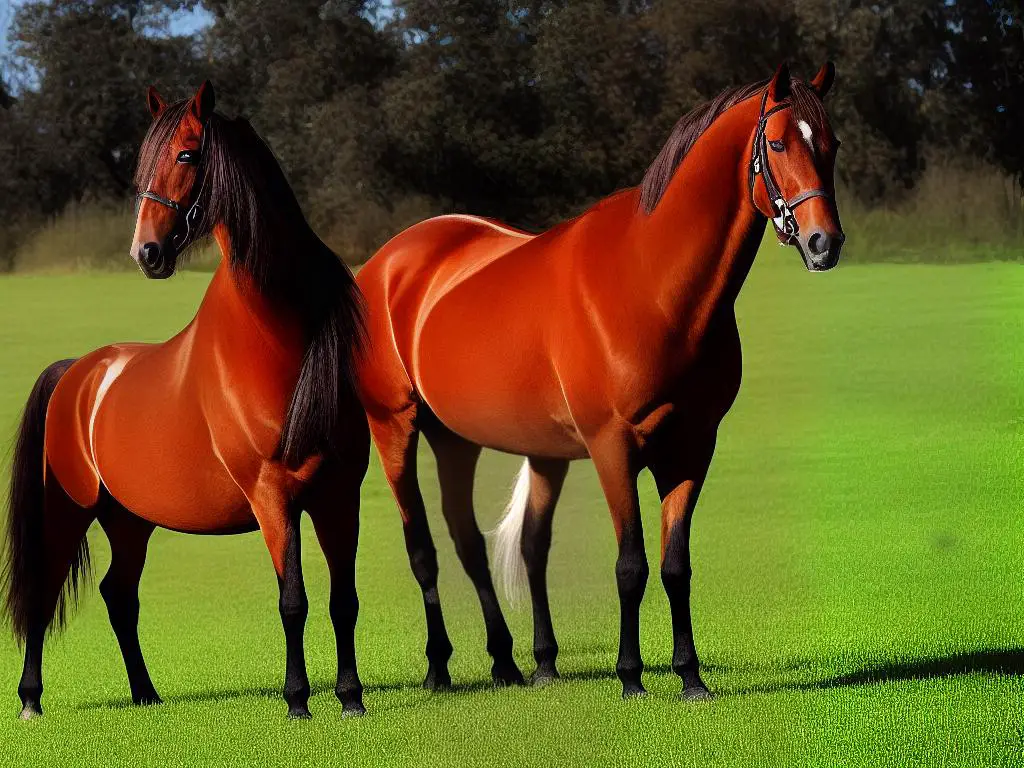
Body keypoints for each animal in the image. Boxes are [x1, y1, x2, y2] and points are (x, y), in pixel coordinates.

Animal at [0, 81, 368, 720]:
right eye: (143, 162)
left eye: (189, 155)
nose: (145, 252)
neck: (277, 341)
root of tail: (77, 374)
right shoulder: (274, 497)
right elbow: (293, 600)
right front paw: (298, 701)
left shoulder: (340, 495)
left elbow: (342, 599)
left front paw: (351, 699)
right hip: (68, 511)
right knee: (45, 591)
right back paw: (29, 700)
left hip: (129, 520)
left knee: (119, 595)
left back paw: (146, 693)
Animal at [356, 63, 843, 700]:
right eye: (780, 144)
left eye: (833, 145)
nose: (824, 242)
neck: (651, 282)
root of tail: (385, 263)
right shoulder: (614, 446)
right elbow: (631, 564)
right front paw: (631, 676)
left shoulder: (693, 446)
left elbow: (675, 564)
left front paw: (689, 676)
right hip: (395, 427)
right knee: (424, 549)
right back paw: (440, 667)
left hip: (465, 440)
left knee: (490, 543)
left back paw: (522, 663)